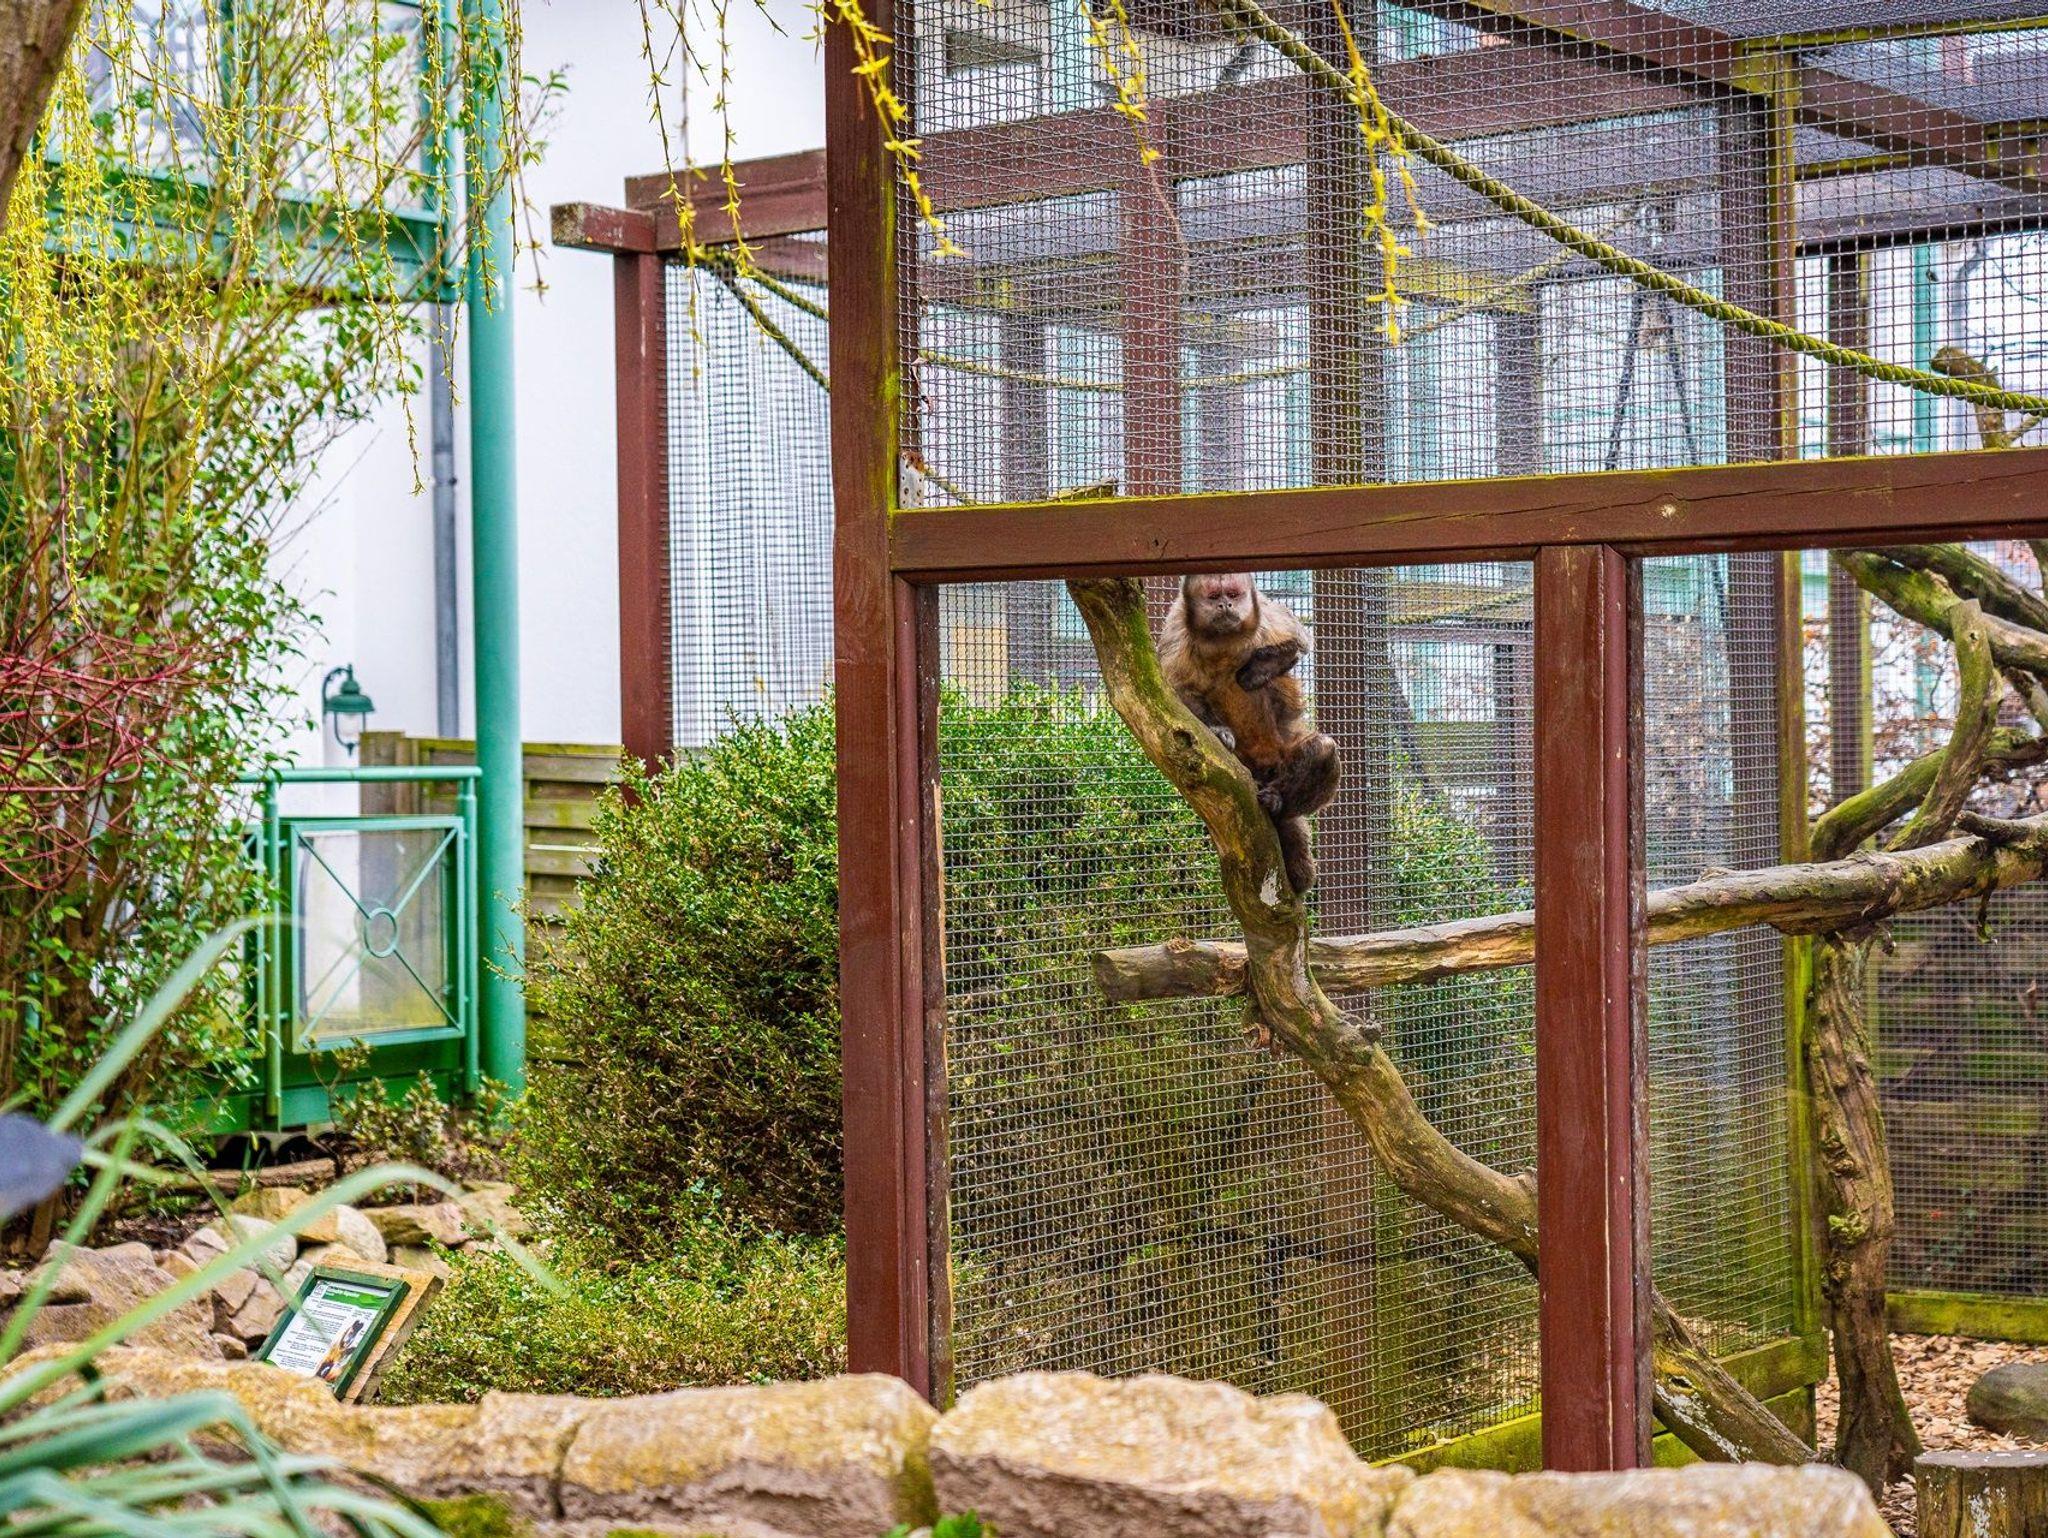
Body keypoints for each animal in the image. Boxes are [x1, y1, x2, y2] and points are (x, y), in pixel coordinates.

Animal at [1159, 573, 1341, 894]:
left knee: (1322, 749)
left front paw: (1258, 668)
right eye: (1213, 596)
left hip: (1280, 756)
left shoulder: (1264, 615)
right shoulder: (1177, 630)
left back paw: (1278, 803)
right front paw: (1218, 730)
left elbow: (1300, 640)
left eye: (1233, 593)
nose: (1225, 604)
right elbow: (1177, 694)